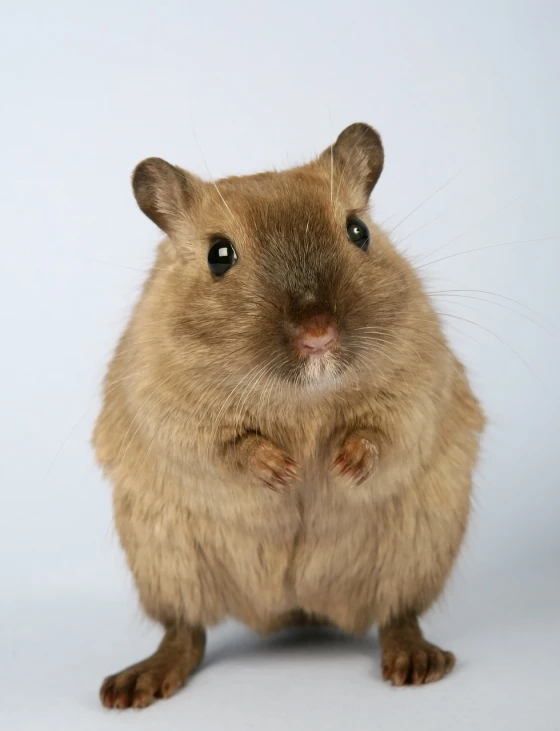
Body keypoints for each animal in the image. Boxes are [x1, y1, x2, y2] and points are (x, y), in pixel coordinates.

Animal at [94, 124, 484, 708]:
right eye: (219, 255)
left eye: (358, 231)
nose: (319, 335)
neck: (301, 396)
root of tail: (295, 606)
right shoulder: (167, 407)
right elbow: (224, 446)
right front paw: (282, 471)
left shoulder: (418, 383)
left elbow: (385, 429)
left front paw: (344, 465)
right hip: (166, 562)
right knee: (186, 630)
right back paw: (135, 685)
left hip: (416, 550)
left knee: (398, 613)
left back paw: (416, 661)